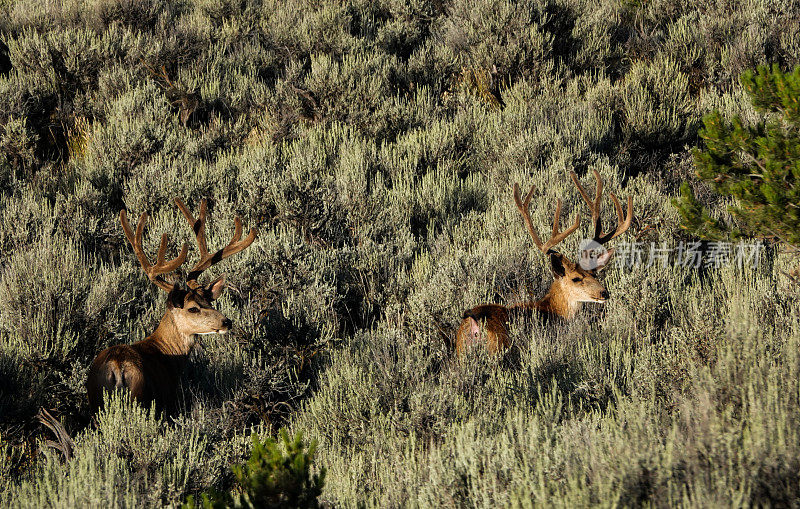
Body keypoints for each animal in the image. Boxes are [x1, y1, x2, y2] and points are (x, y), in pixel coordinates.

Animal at [87, 196, 256, 414]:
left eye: (209, 301)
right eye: (192, 308)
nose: (227, 322)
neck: (165, 353)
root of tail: (118, 365)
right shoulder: (168, 399)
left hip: (95, 399)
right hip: (143, 396)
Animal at [456, 171, 632, 354]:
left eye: (594, 274)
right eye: (576, 278)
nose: (604, 293)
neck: (553, 309)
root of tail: (473, 320)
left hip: (460, 351)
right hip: (496, 346)